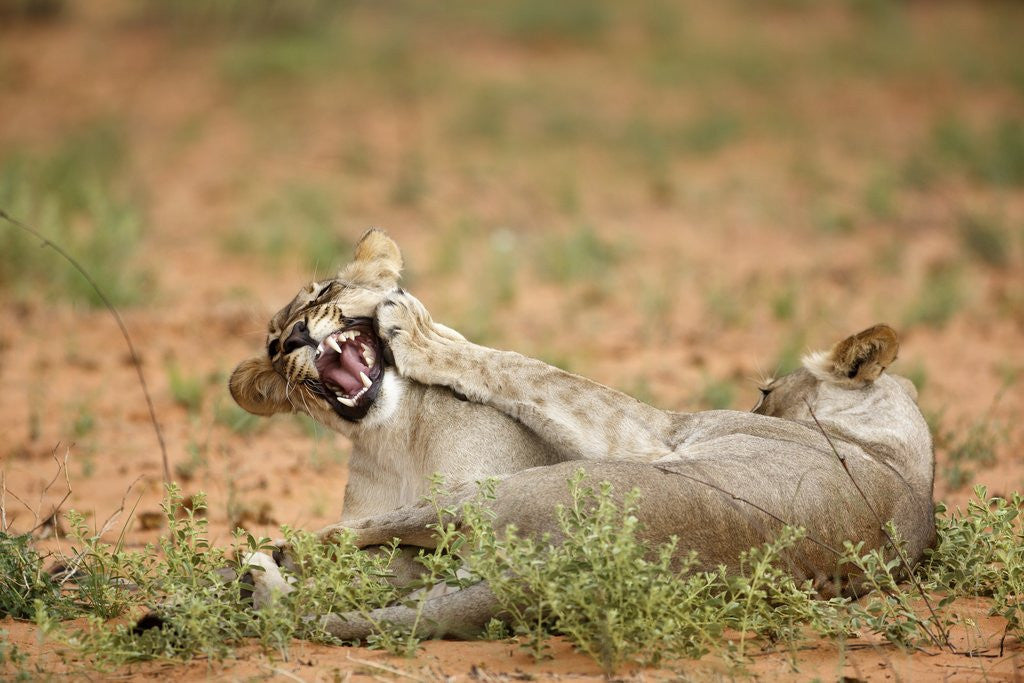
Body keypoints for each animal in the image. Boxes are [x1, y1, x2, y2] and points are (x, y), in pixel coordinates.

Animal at [240, 286, 935, 642]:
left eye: (764, 392)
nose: (752, 402)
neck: (901, 459)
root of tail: (552, 579)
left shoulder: (652, 432)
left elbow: (529, 370)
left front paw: (415, 329)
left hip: (498, 491)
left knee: (357, 535)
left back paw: (267, 559)